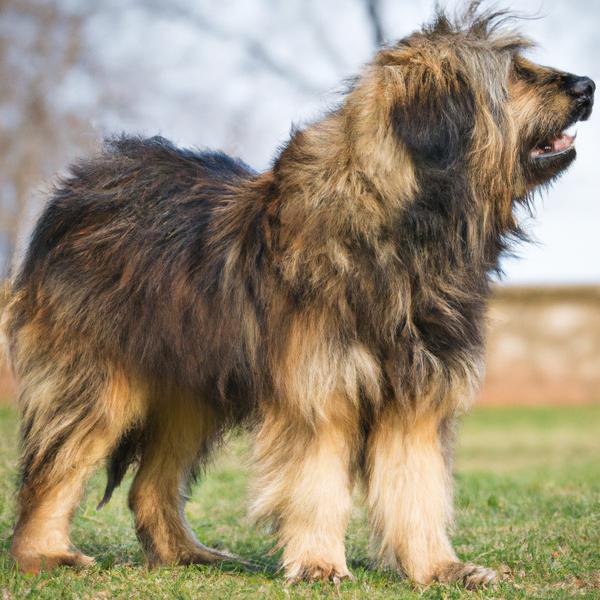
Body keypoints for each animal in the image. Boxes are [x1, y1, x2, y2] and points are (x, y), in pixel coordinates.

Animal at [0, 1, 592, 592]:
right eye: (515, 73)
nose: (587, 86)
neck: (408, 227)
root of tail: (72, 190)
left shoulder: (418, 393)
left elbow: (417, 485)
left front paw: (439, 567)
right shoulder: (319, 387)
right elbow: (317, 479)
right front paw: (319, 563)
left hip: (191, 388)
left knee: (150, 484)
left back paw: (188, 555)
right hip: (96, 376)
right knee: (53, 469)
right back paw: (45, 555)